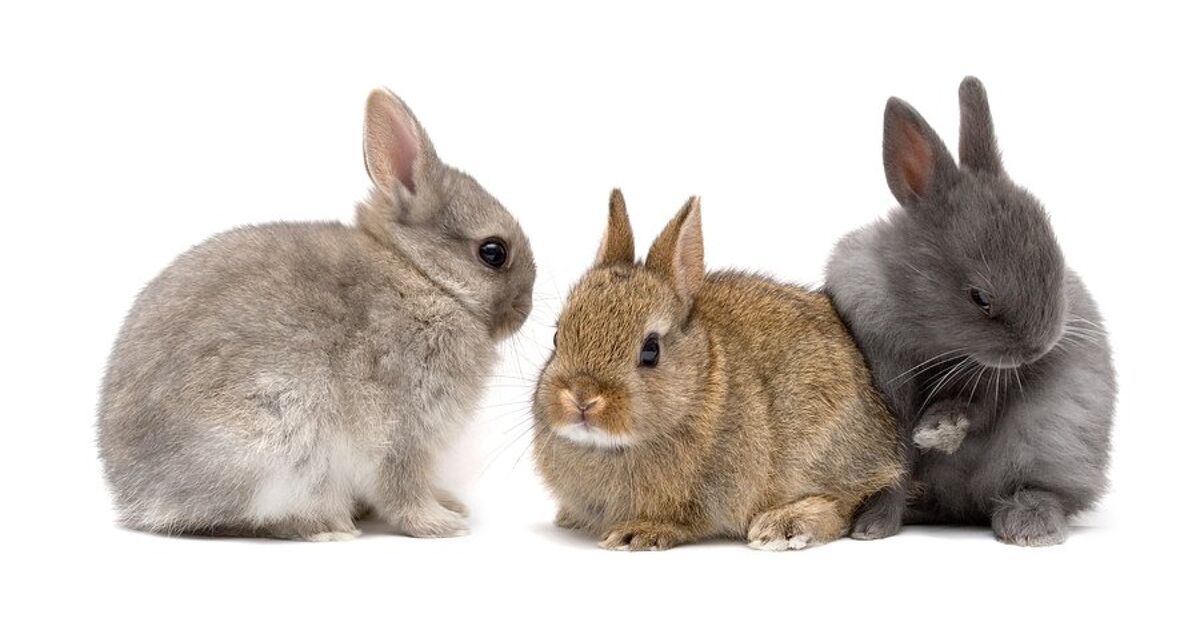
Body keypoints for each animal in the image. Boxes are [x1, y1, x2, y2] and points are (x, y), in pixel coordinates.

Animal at [97, 89, 535, 540]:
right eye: (493, 252)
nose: (525, 309)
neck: (424, 276)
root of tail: (137, 495)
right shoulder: (402, 430)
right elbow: (402, 487)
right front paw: (441, 524)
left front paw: (451, 505)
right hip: (276, 441)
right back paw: (327, 526)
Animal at [531, 190, 901, 551]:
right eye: (557, 337)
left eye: (650, 350)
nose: (582, 397)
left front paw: (638, 533)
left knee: (843, 506)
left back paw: (782, 526)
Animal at [824, 77, 1115, 546]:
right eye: (980, 297)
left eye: (1055, 257)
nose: (1039, 348)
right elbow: (896, 464)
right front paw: (873, 527)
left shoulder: (996, 382)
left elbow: (979, 411)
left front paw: (940, 430)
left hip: (1055, 438)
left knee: (1039, 489)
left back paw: (1030, 525)